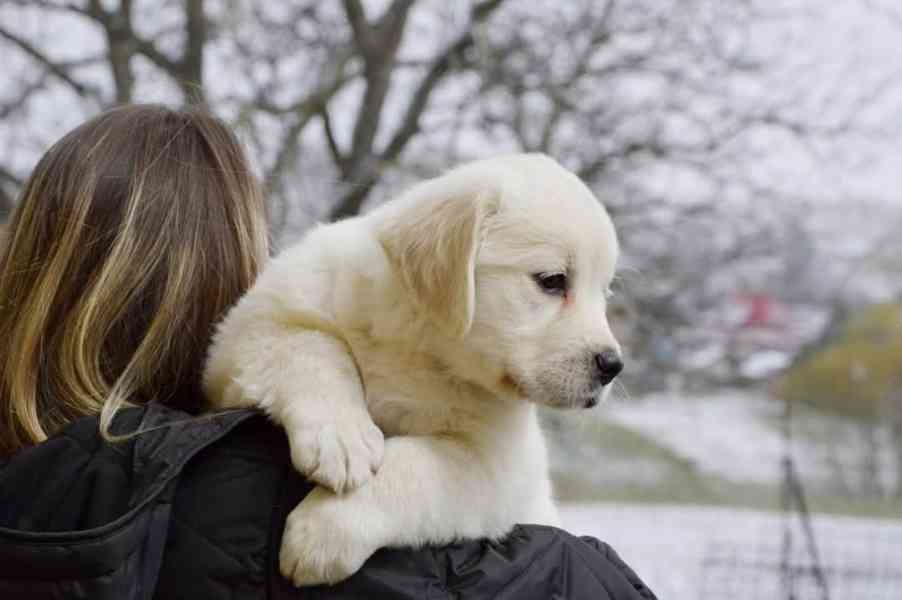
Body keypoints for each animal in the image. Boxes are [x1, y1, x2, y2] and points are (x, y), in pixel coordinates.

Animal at [203, 154, 620, 584]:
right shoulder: (244, 336)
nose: (612, 365)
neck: (425, 344)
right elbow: (313, 347)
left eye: (604, 293)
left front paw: (325, 528)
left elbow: (413, 465)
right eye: (552, 281)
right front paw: (342, 437)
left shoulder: (494, 466)